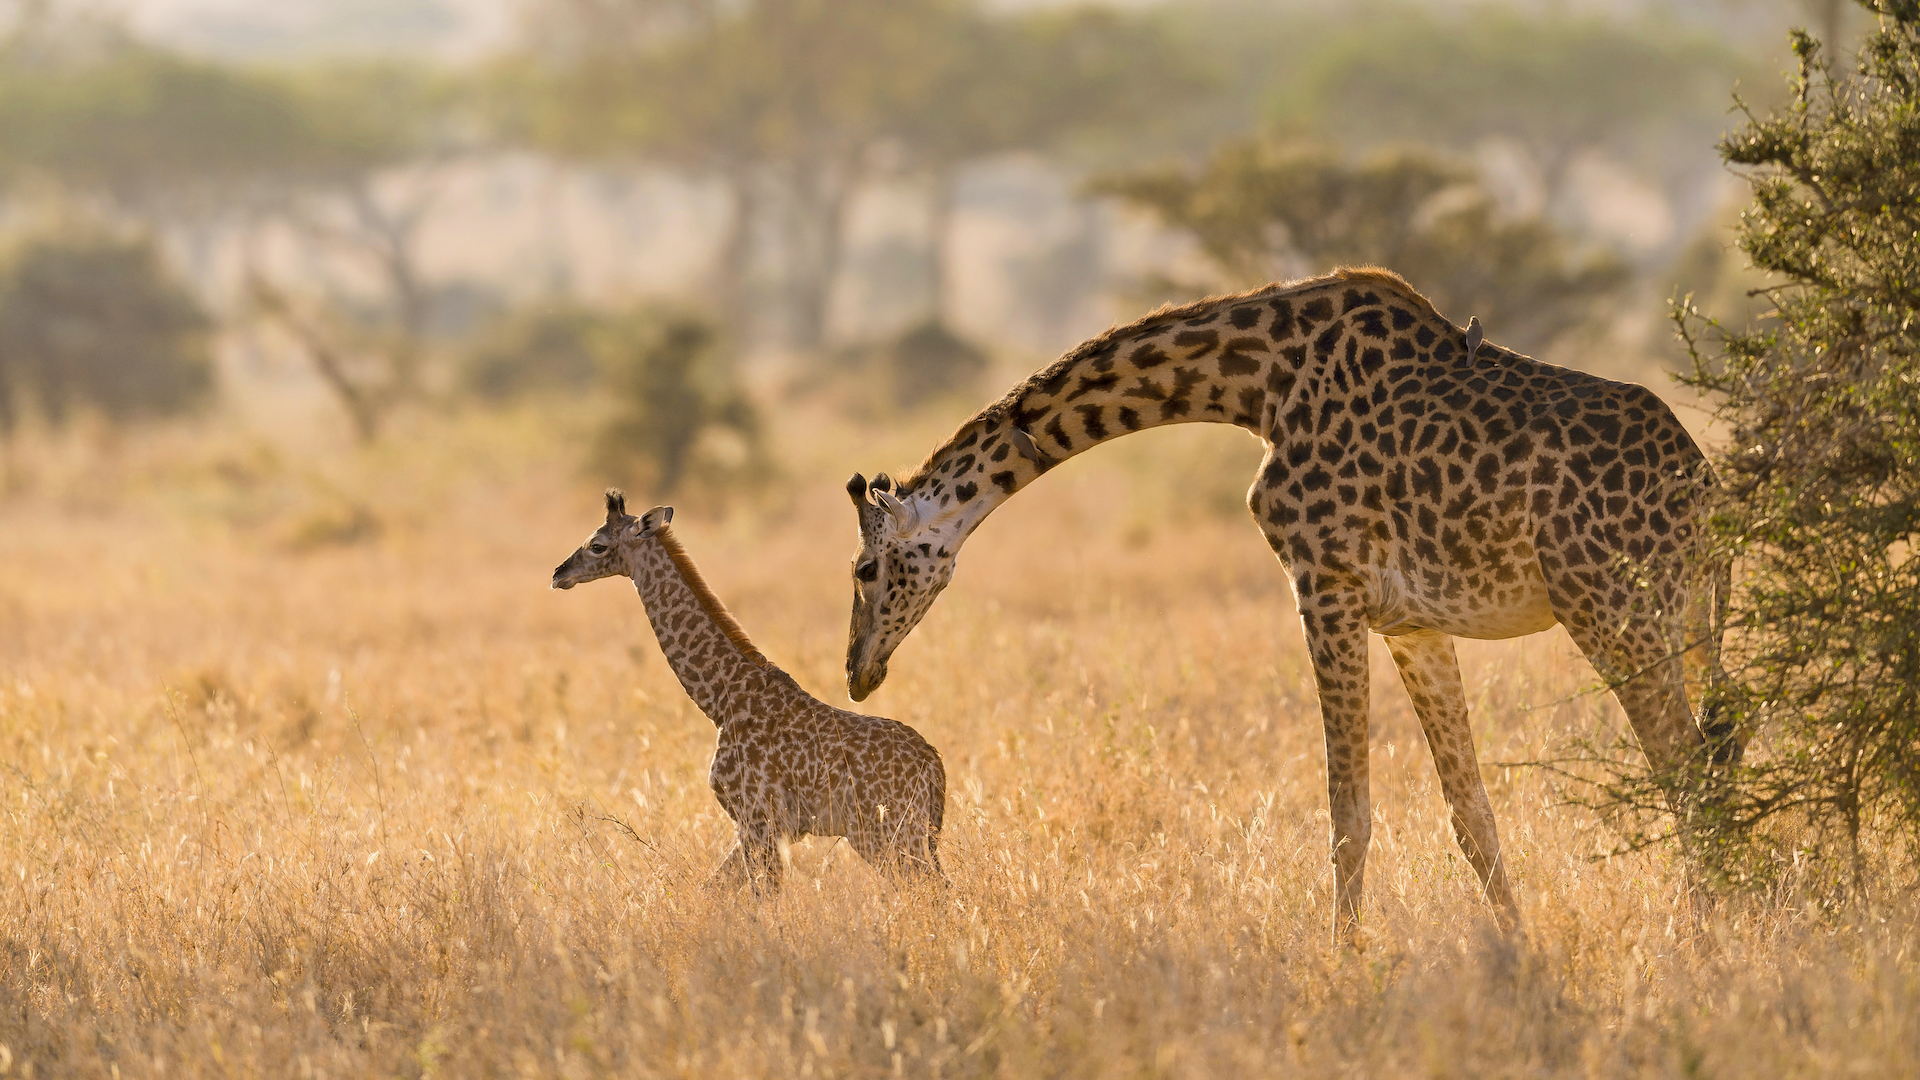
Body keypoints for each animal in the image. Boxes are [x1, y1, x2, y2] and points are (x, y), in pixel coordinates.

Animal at [552, 490, 948, 891]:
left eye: (597, 545)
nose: (559, 574)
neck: (721, 700)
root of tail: (934, 765)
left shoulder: (762, 819)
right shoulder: (762, 827)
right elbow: (714, 888)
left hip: (890, 832)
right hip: (892, 834)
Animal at [848, 267, 1735, 933]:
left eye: (862, 569)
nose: (858, 670)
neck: (1253, 384)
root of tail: (1704, 487)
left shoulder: (1323, 585)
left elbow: (1348, 813)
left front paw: (1344, 962)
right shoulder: (1413, 623)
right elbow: (1471, 814)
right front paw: (1518, 951)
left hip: (1612, 611)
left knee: (1689, 770)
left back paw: (1702, 936)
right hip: (1681, 619)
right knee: (1710, 759)